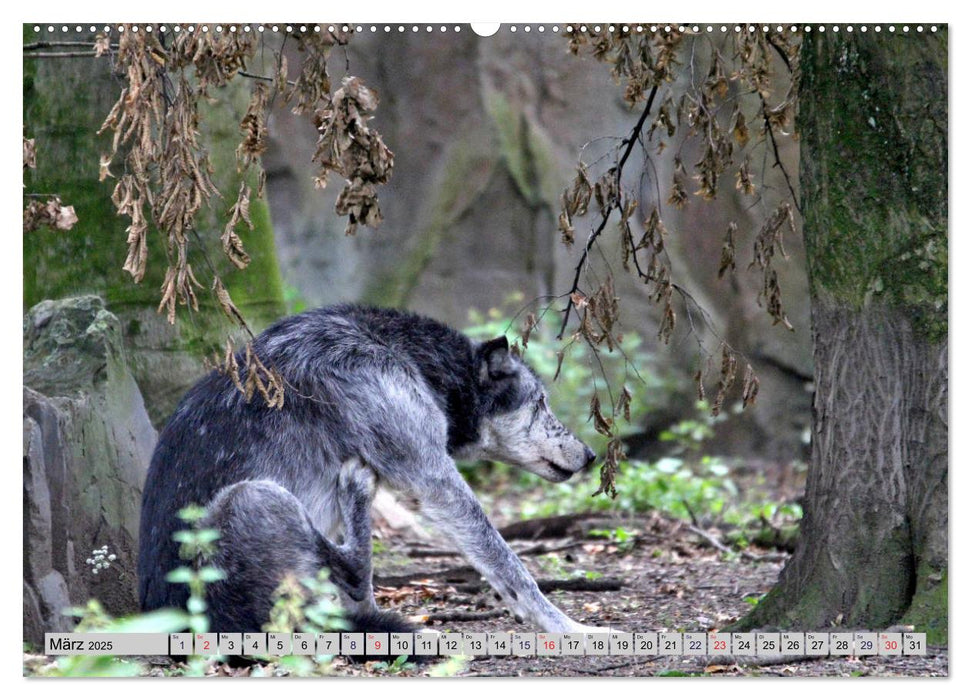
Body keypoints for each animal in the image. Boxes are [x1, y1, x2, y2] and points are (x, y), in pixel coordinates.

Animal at [139, 304, 600, 632]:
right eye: (540, 403)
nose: (591, 455)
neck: (403, 354)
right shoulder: (433, 479)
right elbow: (511, 568)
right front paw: (569, 628)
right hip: (255, 496)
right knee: (354, 575)